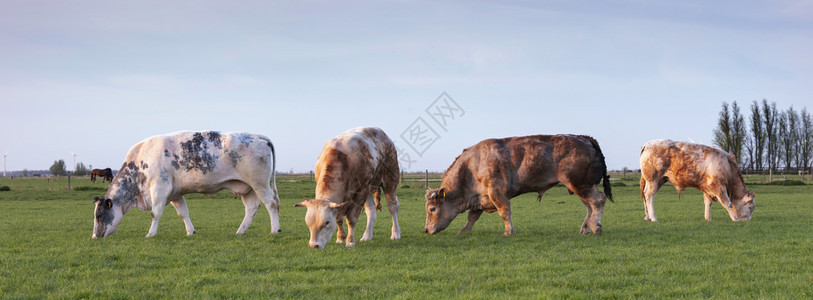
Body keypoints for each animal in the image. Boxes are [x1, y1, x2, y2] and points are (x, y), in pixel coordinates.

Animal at [93, 131, 280, 239]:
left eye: (99, 216)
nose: (95, 236)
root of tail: (256, 136)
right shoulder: (175, 194)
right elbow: (183, 213)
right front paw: (191, 232)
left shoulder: (160, 189)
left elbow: (155, 213)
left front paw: (150, 234)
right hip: (246, 187)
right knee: (252, 207)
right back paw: (241, 231)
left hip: (259, 183)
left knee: (271, 203)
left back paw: (274, 230)